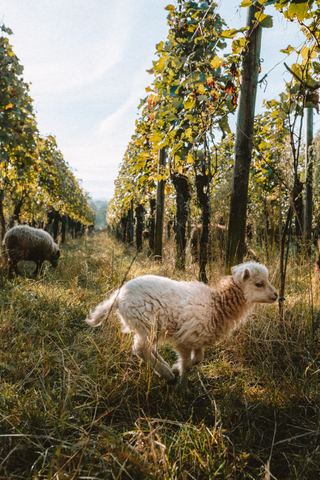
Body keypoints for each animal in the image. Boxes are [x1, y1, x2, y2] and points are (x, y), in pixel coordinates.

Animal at [85, 262, 278, 394]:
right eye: (259, 284)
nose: (277, 296)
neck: (217, 305)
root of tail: (118, 296)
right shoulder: (184, 340)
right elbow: (187, 365)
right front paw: (183, 387)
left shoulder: (197, 338)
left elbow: (198, 359)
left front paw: (176, 368)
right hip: (145, 322)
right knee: (140, 349)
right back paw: (167, 375)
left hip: (151, 328)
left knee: (148, 348)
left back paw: (165, 368)